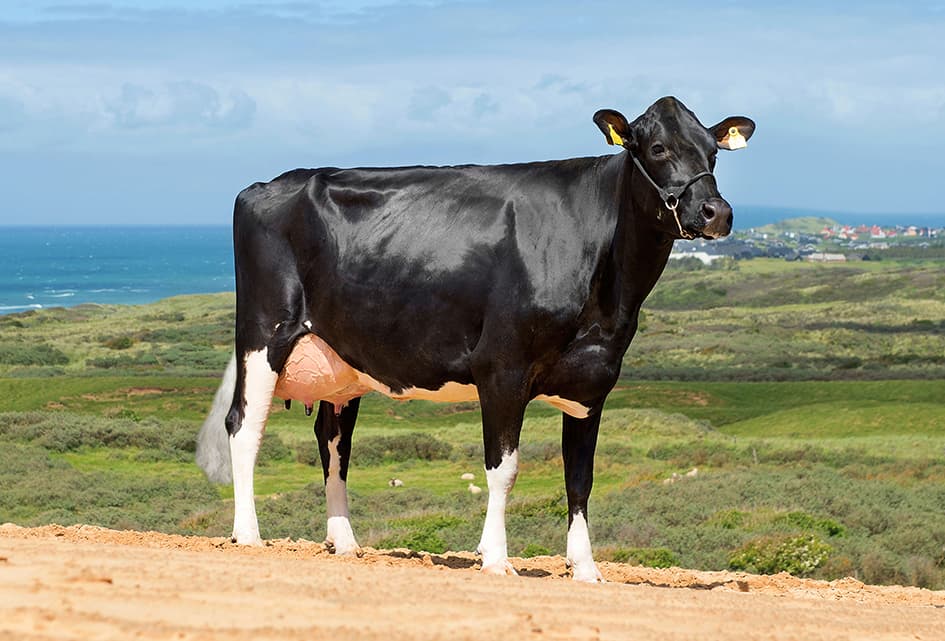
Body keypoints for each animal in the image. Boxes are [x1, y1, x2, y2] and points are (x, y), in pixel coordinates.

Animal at [196, 96, 755, 582]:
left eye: (713, 151)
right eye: (657, 148)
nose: (716, 212)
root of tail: (268, 184)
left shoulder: (593, 383)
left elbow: (580, 479)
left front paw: (586, 569)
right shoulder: (502, 368)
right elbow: (503, 469)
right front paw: (497, 559)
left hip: (342, 361)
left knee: (333, 442)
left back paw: (346, 543)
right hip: (264, 334)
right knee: (244, 426)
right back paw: (249, 535)